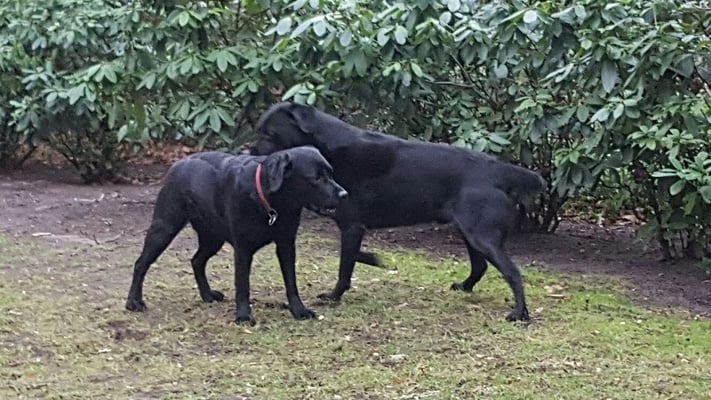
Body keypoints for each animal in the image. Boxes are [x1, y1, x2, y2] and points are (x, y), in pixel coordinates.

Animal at [125, 146, 348, 324]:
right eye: (316, 178)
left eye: (331, 173)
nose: (344, 194)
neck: (269, 201)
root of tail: (178, 163)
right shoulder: (243, 249)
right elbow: (242, 285)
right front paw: (243, 316)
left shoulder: (286, 244)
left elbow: (291, 281)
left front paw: (299, 310)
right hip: (164, 228)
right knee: (141, 263)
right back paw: (133, 302)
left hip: (212, 238)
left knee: (196, 261)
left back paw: (207, 294)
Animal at [249, 103, 544, 321]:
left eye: (269, 134)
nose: (249, 153)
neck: (326, 149)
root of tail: (500, 169)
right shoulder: (351, 227)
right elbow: (352, 257)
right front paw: (374, 259)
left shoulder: (352, 225)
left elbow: (345, 267)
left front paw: (334, 296)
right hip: (469, 231)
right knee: (480, 265)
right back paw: (465, 287)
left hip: (480, 234)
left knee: (512, 272)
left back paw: (519, 313)